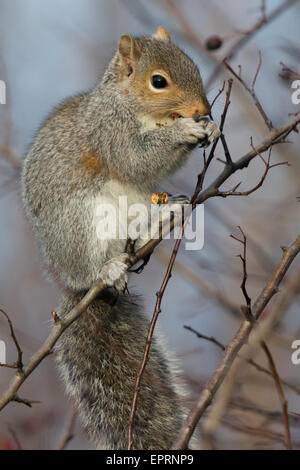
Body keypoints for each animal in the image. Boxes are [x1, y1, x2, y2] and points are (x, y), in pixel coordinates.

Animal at [22, 26, 220, 452]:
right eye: (158, 81)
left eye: (194, 65)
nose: (203, 109)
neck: (131, 106)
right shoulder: (110, 132)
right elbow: (135, 160)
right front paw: (186, 130)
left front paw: (210, 128)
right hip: (82, 223)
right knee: (91, 267)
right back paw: (109, 268)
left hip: (138, 203)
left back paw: (166, 214)